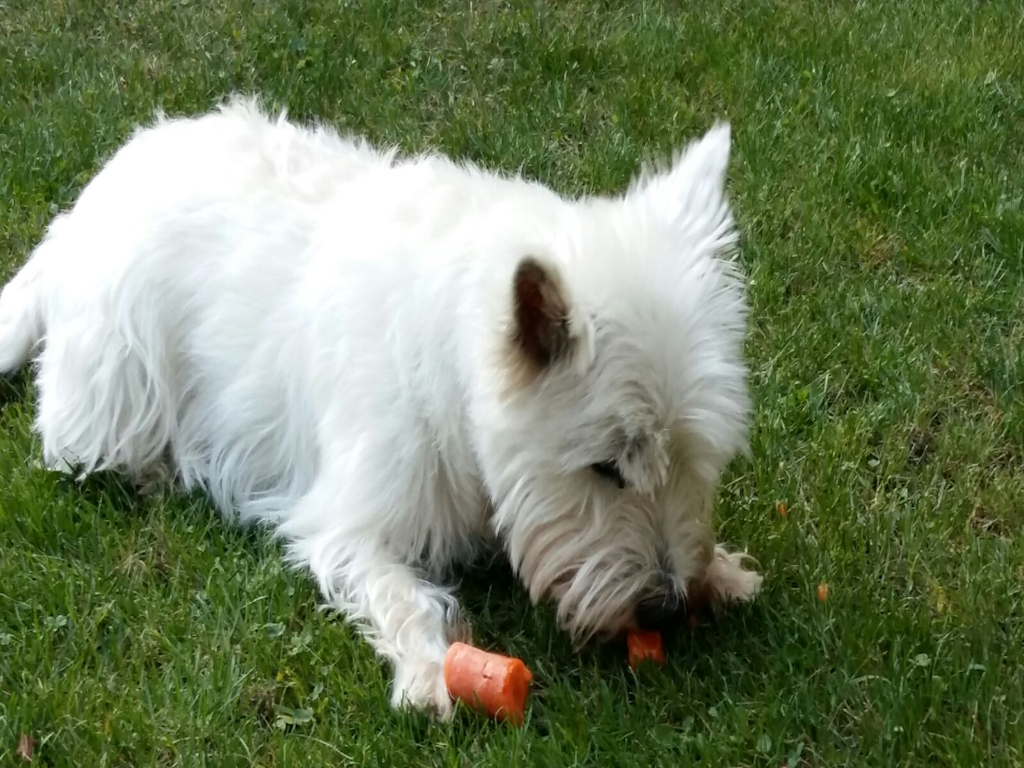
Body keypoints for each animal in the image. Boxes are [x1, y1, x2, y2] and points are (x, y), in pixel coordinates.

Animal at [0, 99, 761, 720]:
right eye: (606, 468)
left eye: (693, 459)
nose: (666, 606)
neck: (456, 357)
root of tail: (85, 207)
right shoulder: (348, 521)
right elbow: (402, 594)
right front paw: (430, 673)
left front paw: (723, 570)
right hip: (117, 384)